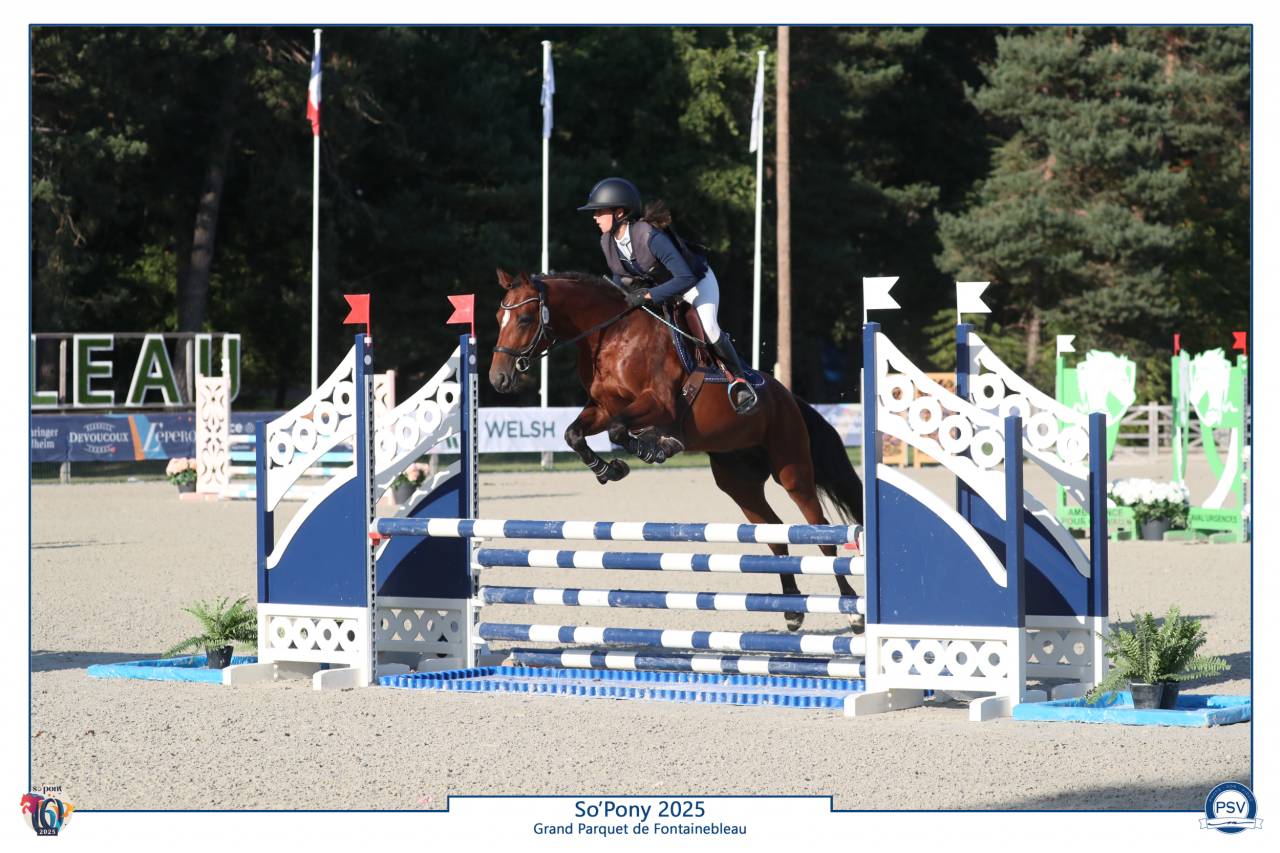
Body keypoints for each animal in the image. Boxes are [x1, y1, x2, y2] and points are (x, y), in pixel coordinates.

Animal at [488, 269, 865, 632]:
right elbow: (574, 434)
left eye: (524, 319)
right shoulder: (603, 408)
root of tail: (787, 396)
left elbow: (619, 429)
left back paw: (852, 612)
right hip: (738, 481)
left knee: (821, 535)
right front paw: (610, 469)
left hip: (792, 469)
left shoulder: (658, 404)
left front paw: (657, 448)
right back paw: (792, 611)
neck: (611, 336)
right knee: (774, 535)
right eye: (497, 317)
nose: (497, 379)